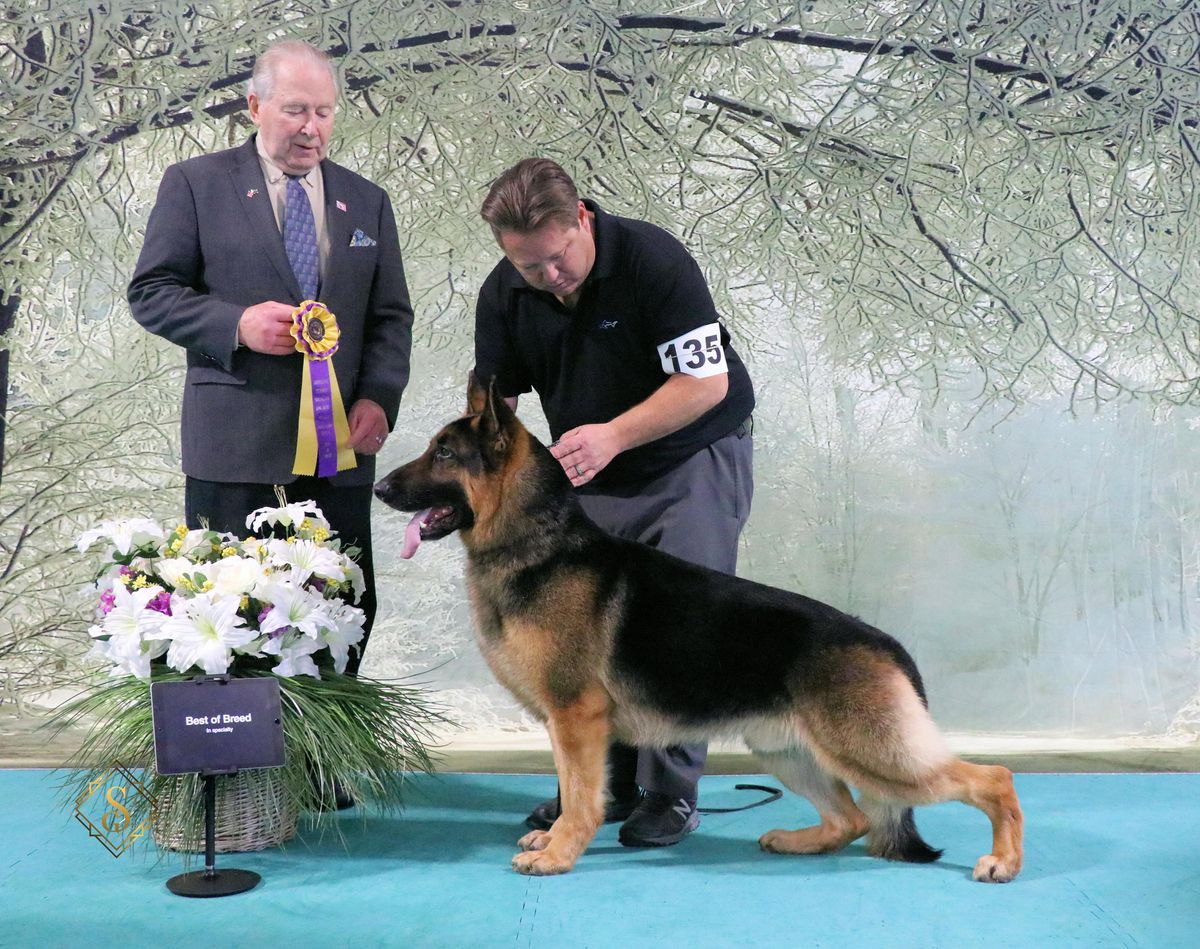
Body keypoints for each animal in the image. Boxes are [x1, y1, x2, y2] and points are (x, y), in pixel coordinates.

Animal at [374, 379, 1022, 883]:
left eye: (444, 453)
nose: (378, 487)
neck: (539, 543)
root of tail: (888, 644)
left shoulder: (576, 718)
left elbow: (582, 797)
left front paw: (559, 854)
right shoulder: (567, 725)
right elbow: (573, 789)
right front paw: (554, 838)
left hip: (871, 752)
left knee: (993, 779)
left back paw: (1003, 861)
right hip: (787, 750)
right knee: (854, 818)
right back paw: (797, 841)